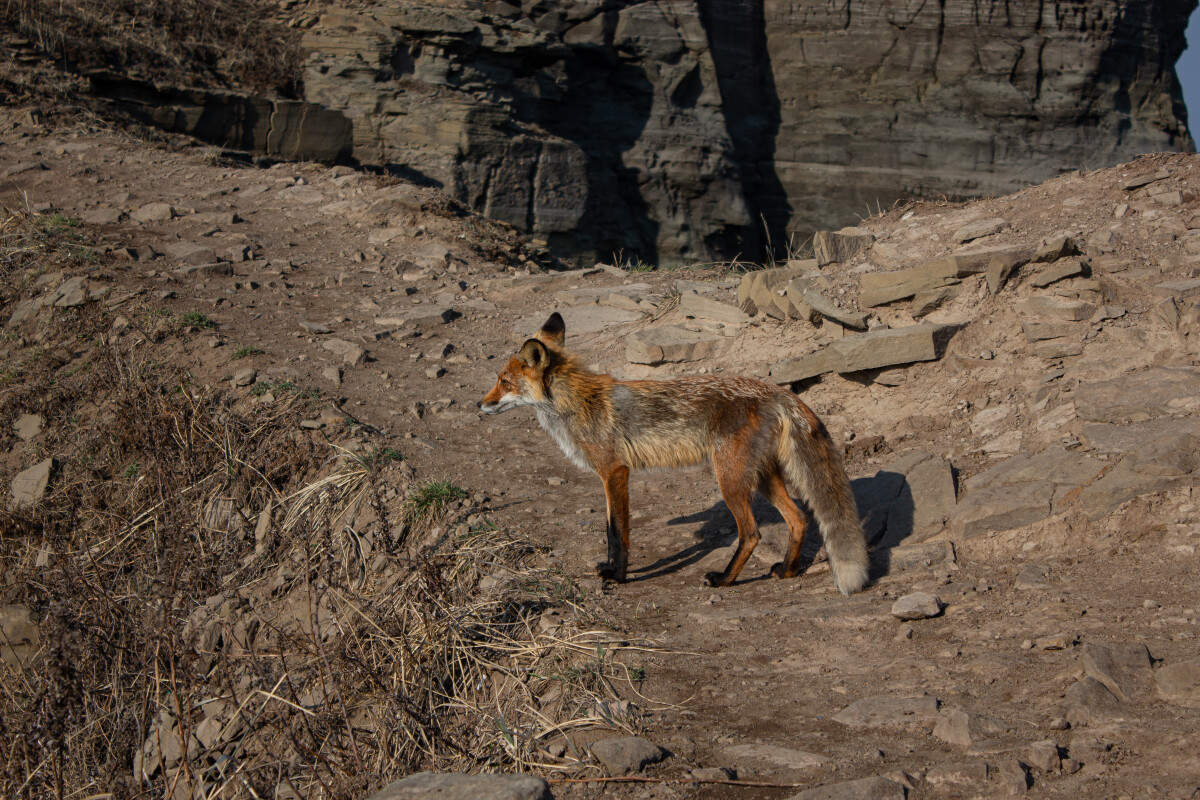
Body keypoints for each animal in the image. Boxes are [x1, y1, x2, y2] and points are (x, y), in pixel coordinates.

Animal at [480, 311, 873, 594]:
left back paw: (725, 580)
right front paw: (611, 569)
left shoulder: (614, 471)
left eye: (503, 382)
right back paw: (788, 571)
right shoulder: (610, 475)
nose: (479, 405)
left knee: (752, 533)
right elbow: (609, 529)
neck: (575, 402)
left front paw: (618, 576)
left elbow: (617, 532)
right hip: (761, 476)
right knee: (799, 519)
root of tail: (777, 391)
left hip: (730, 479)